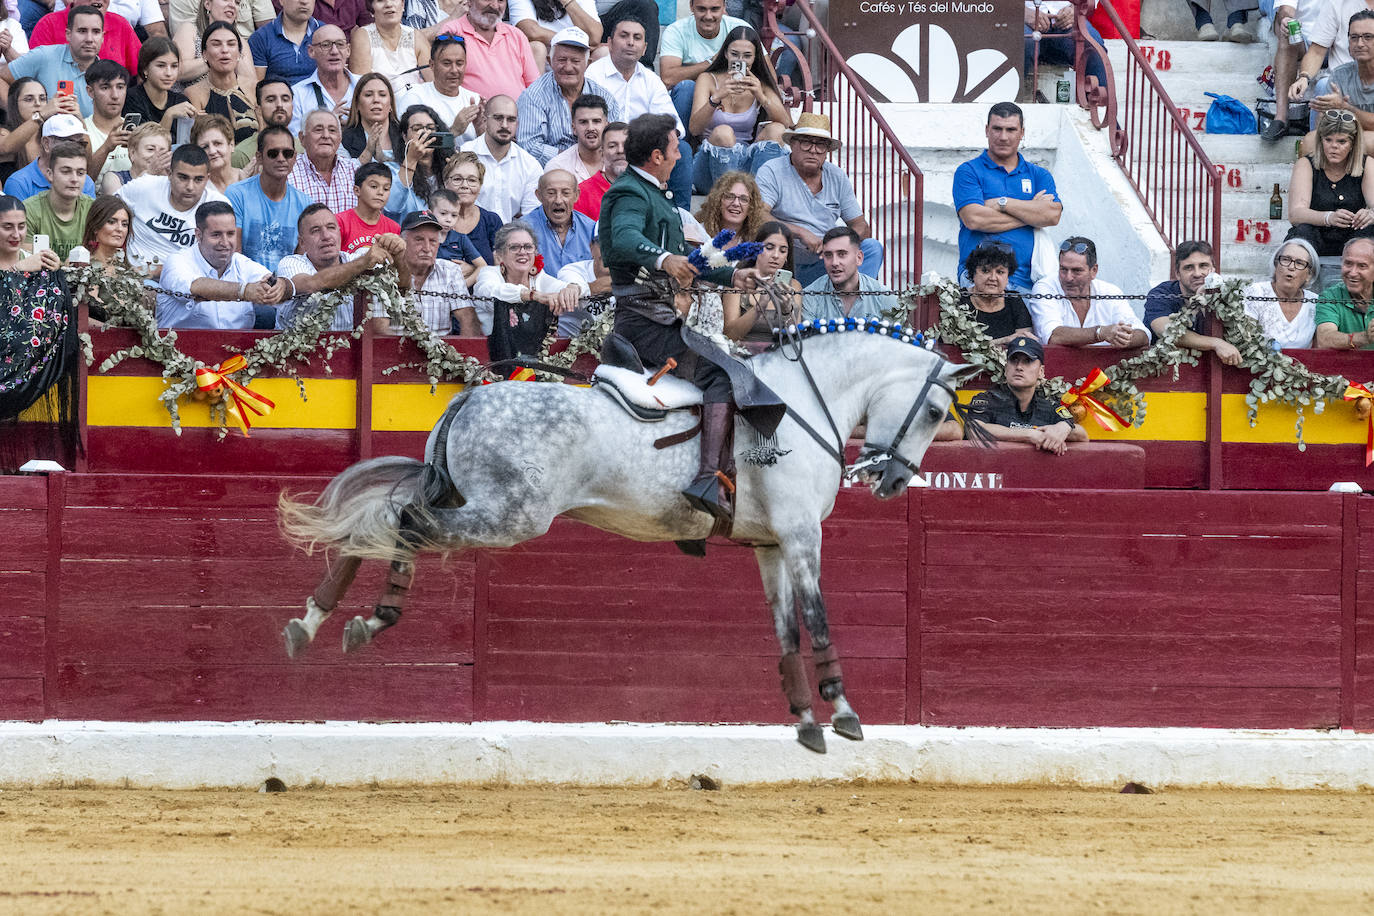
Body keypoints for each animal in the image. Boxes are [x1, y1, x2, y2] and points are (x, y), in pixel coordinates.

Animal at [278, 329, 978, 752]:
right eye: (936, 412)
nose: (893, 480)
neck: (806, 404)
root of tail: (466, 400)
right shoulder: (803, 537)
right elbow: (819, 616)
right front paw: (844, 714)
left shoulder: (770, 546)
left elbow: (784, 628)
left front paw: (806, 722)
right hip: (508, 517)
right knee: (401, 525)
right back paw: (369, 620)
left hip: (464, 500)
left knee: (376, 523)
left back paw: (314, 622)